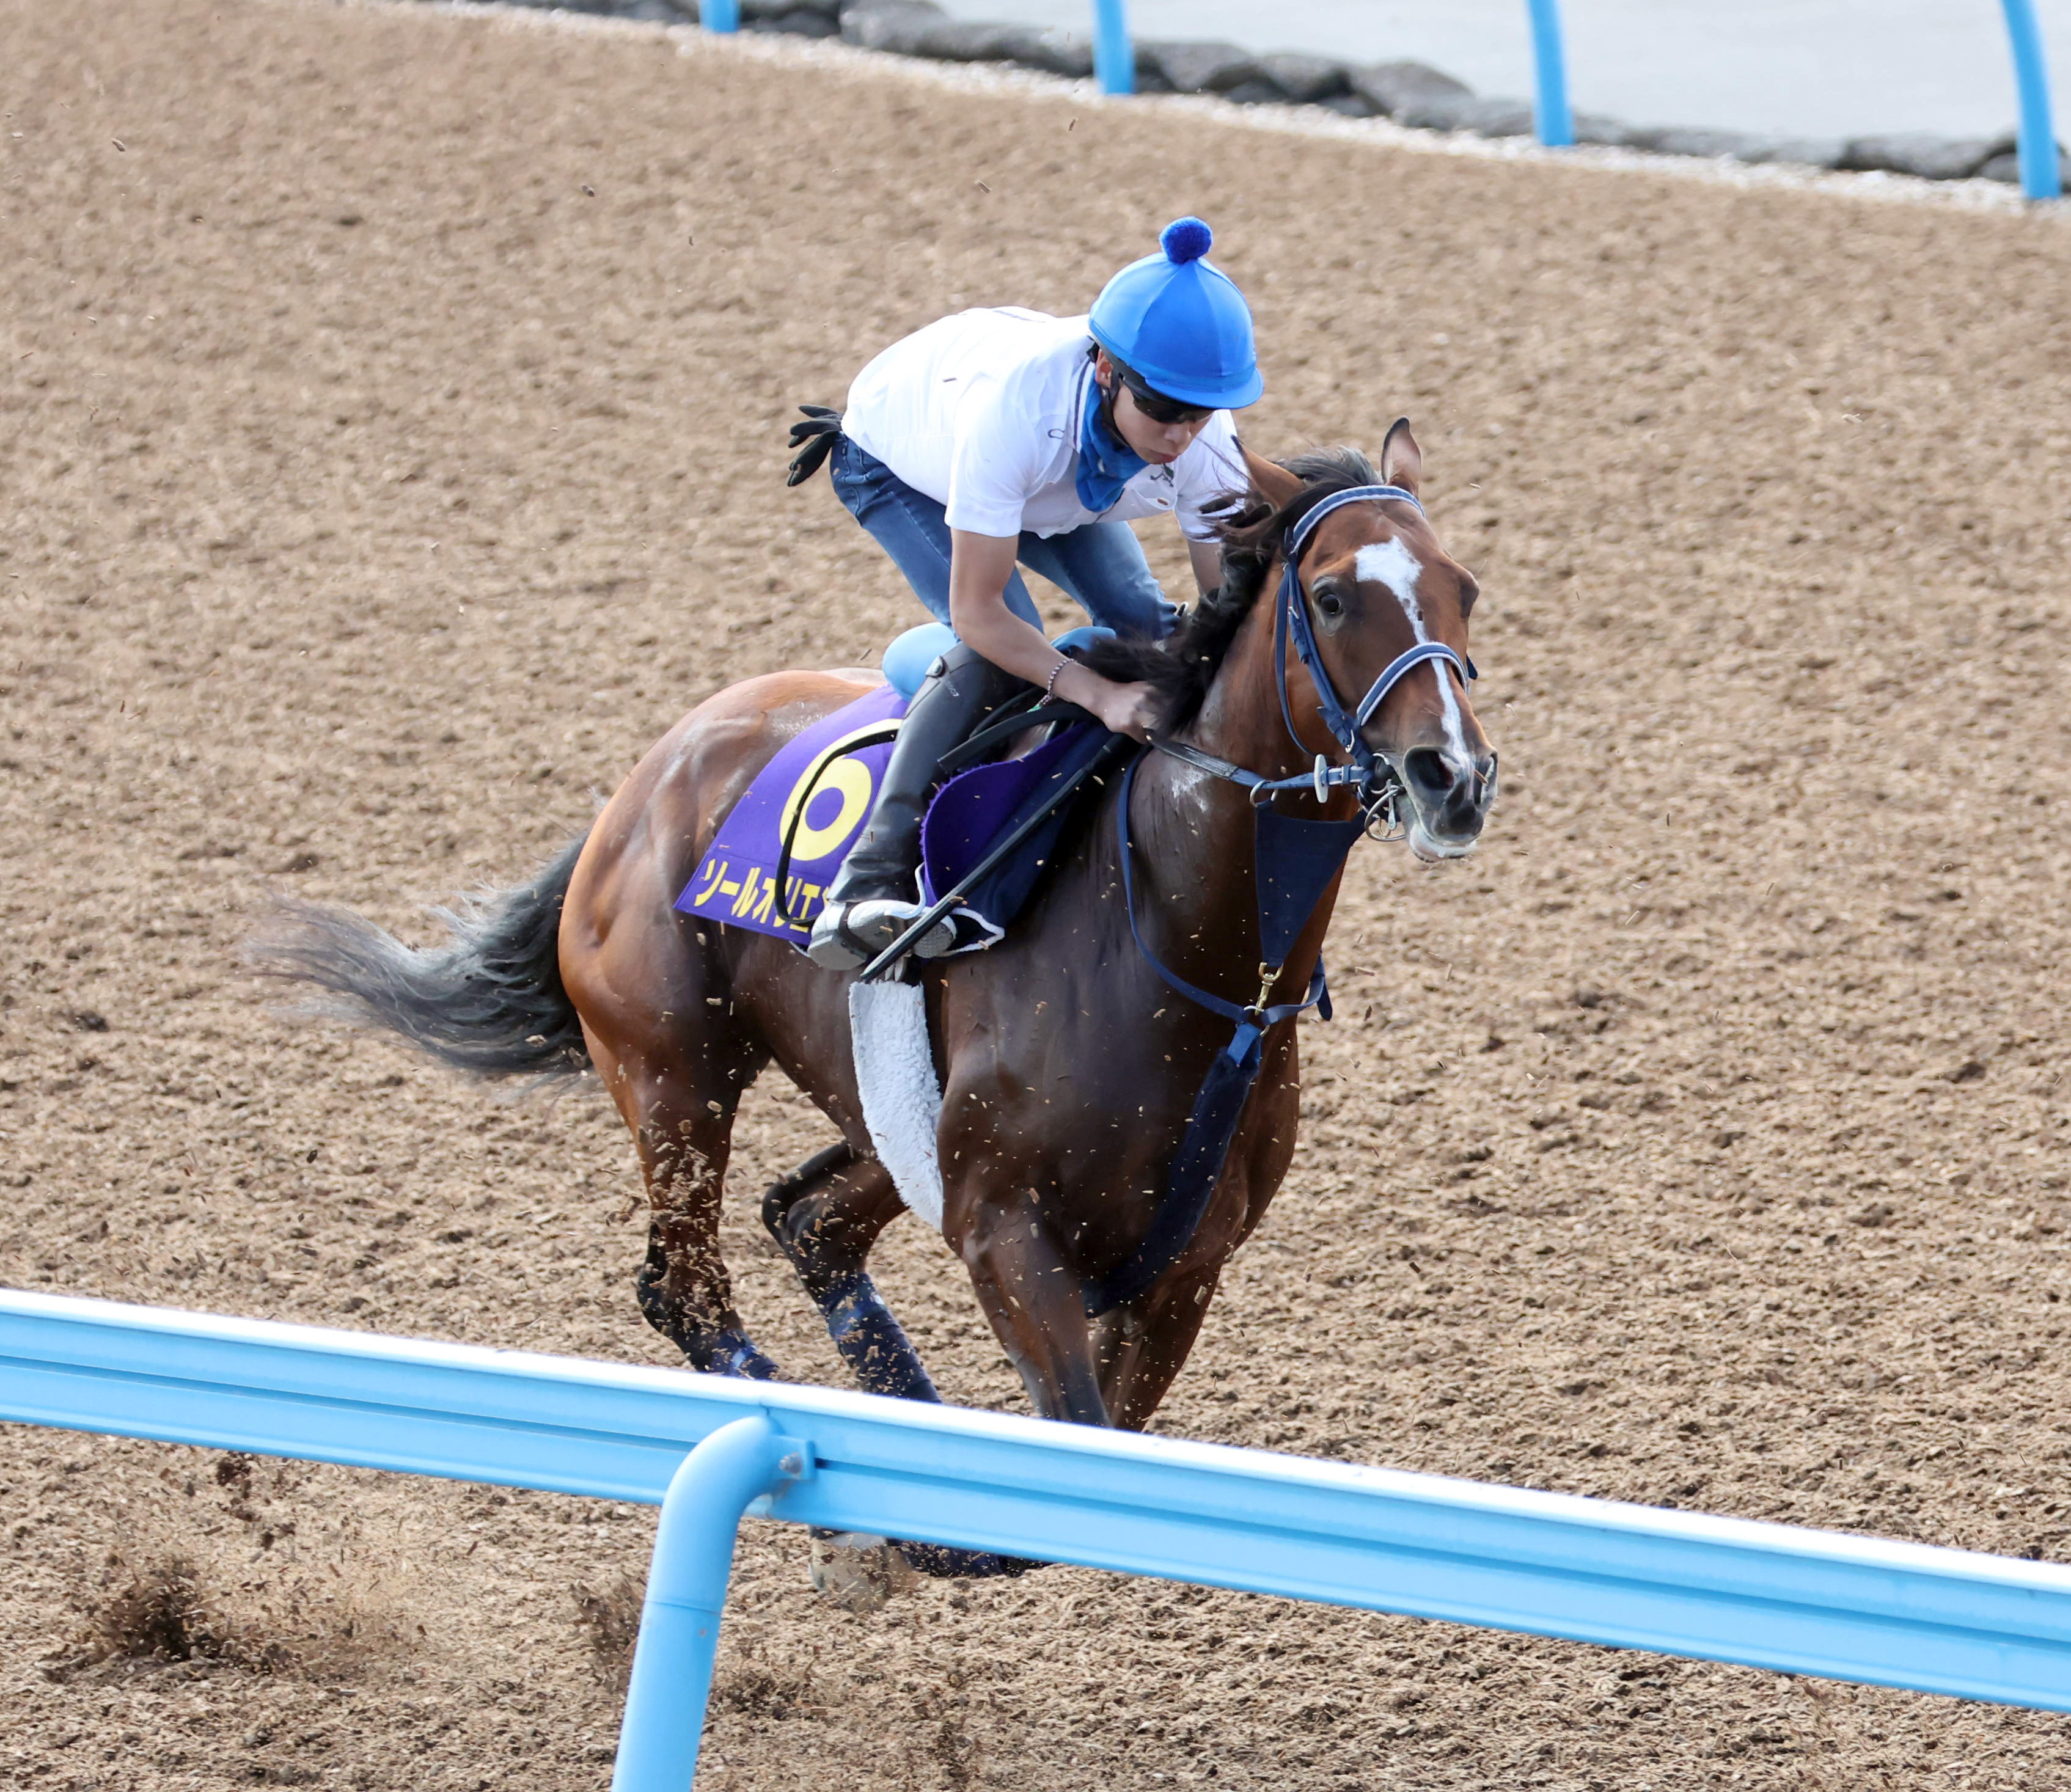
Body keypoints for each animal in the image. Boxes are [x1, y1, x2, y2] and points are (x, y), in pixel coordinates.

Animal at [258, 422, 1499, 1549]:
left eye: (1463, 588)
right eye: (1332, 597)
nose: (1453, 775)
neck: (1193, 957)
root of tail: (646, 776)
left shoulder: (1184, 1267)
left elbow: (1098, 1439)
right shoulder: (1004, 1231)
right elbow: (1061, 1445)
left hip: (887, 1111)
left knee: (805, 1219)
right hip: (674, 1077)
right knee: (684, 1283)